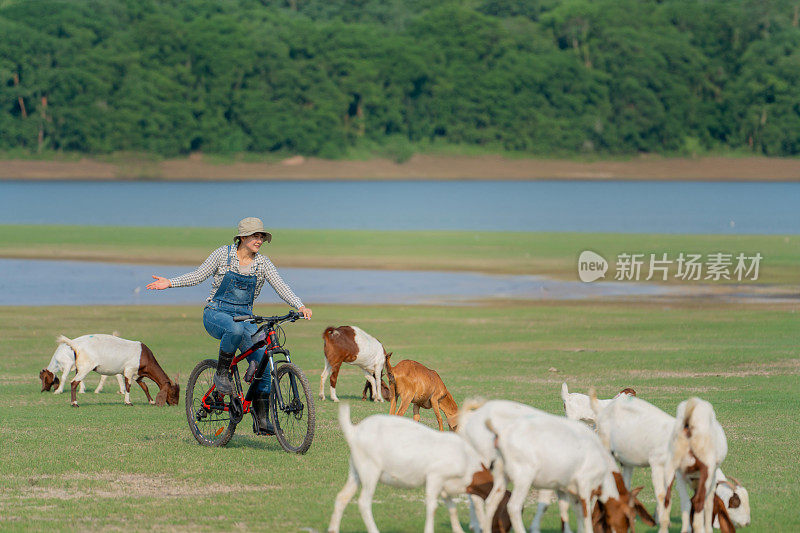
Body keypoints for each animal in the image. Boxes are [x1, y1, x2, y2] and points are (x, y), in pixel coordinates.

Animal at [328, 404, 484, 532]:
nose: (481, 528)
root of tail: (354, 431)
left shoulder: (445, 489)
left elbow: (452, 508)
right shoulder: (435, 478)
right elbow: (432, 506)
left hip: (355, 472)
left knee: (342, 497)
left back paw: (333, 529)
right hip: (370, 471)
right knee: (363, 502)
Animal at [664, 396, 732, 528]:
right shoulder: (710, 477)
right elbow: (708, 503)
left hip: (671, 467)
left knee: (668, 499)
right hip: (706, 469)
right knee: (698, 501)